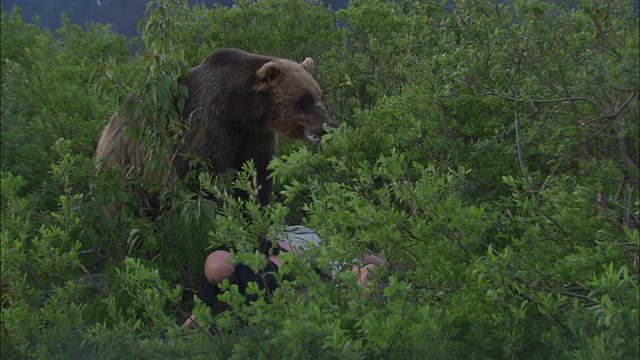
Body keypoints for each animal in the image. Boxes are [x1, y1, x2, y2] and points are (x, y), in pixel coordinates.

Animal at [96, 49, 336, 210]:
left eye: (318, 95)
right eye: (303, 100)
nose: (328, 125)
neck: (242, 110)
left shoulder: (254, 134)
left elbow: (257, 171)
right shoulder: (207, 125)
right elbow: (202, 176)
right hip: (127, 169)